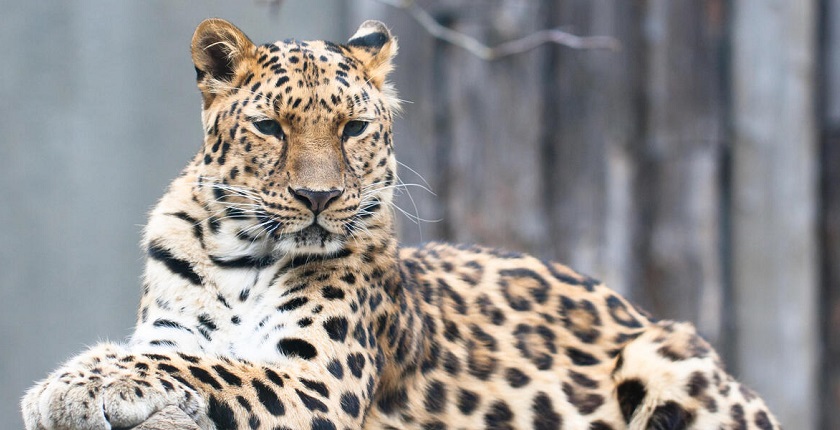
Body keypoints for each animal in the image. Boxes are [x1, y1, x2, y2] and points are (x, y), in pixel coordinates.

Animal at [22, 18, 781, 430]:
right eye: (271, 128)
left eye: (354, 128)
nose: (318, 196)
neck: (242, 256)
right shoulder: (179, 329)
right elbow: (176, 353)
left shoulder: (317, 379)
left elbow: (204, 366)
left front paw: (65, 385)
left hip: (667, 354)